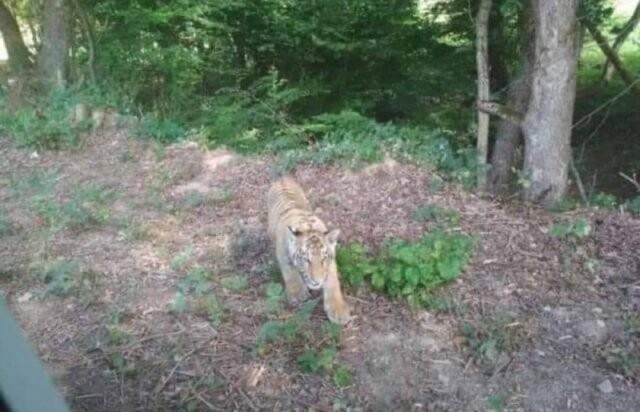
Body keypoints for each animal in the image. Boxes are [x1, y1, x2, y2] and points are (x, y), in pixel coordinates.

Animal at [268, 177, 352, 326]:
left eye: (323, 259)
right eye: (306, 259)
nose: (316, 282)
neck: (307, 226)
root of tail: (282, 178)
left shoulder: (330, 263)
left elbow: (333, 283)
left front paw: (338, 310)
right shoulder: (283, 254)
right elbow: (290, 272)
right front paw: (298, 294)